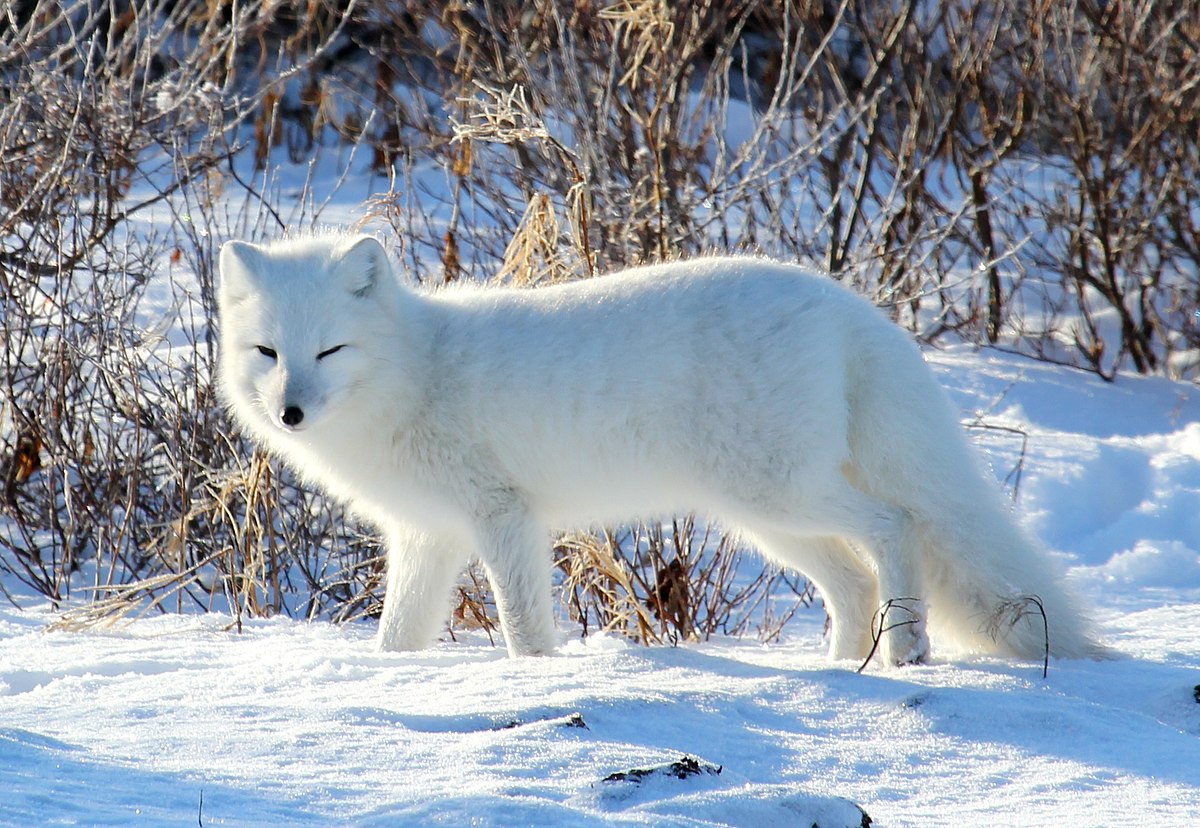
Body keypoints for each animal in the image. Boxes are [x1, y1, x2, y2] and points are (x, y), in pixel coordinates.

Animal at [218, 232, 1104, 662]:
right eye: (268, 352)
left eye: (330, 350)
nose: (290, 412)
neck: (416, 370)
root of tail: (847, 306)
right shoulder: (427, 535)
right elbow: (398, 635)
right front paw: (387, 682)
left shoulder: (504, 517)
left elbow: (522, 625)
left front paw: (532, 681)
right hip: (767, 518)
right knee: (853, 581)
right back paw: (832, 672)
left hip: (779, 496)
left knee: (897, 526)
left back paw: (909, 649)